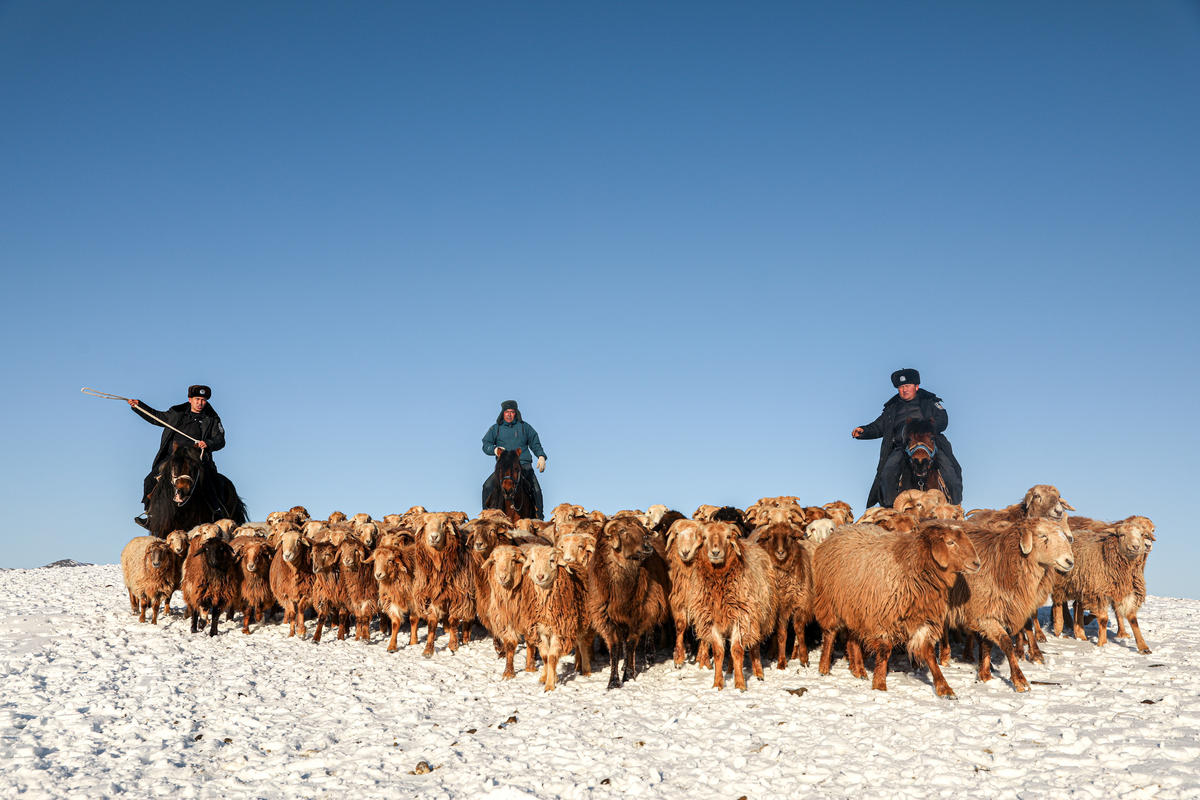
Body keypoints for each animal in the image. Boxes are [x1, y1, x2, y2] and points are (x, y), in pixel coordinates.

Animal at [696, 522, 777, 690]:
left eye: (728, 536)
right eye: (705, 537)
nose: (715, 552)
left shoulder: (741, 618)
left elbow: (737, 650)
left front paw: (740, 684)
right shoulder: (713, 620)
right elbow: (719, 652)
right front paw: (718, 683)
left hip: (759, 618)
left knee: (754, 645)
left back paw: (759, 673)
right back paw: (729, 670)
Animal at [811, 522, 979, 695]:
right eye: (950, 542)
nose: (977, 563)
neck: (914, 567)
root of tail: (841, 530)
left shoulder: (923, 619)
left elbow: (929, 653)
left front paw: (944, 688)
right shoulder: (882, 618)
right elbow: (884, 651)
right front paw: (879, 684)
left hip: (854, 608)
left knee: (853, 639)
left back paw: (859, 670)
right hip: (829, 602)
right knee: (830, 634)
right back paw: (824, 668)